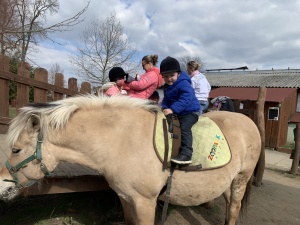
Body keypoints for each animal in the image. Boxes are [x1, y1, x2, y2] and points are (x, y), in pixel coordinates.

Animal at [0, 95, 260, 225]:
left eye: (15, 150)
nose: (2, 186)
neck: (122, 140)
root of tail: (249, 122)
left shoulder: (145, 202)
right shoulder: (126, 198)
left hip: (241, 179)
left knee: (233, 209)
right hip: (226, 182)